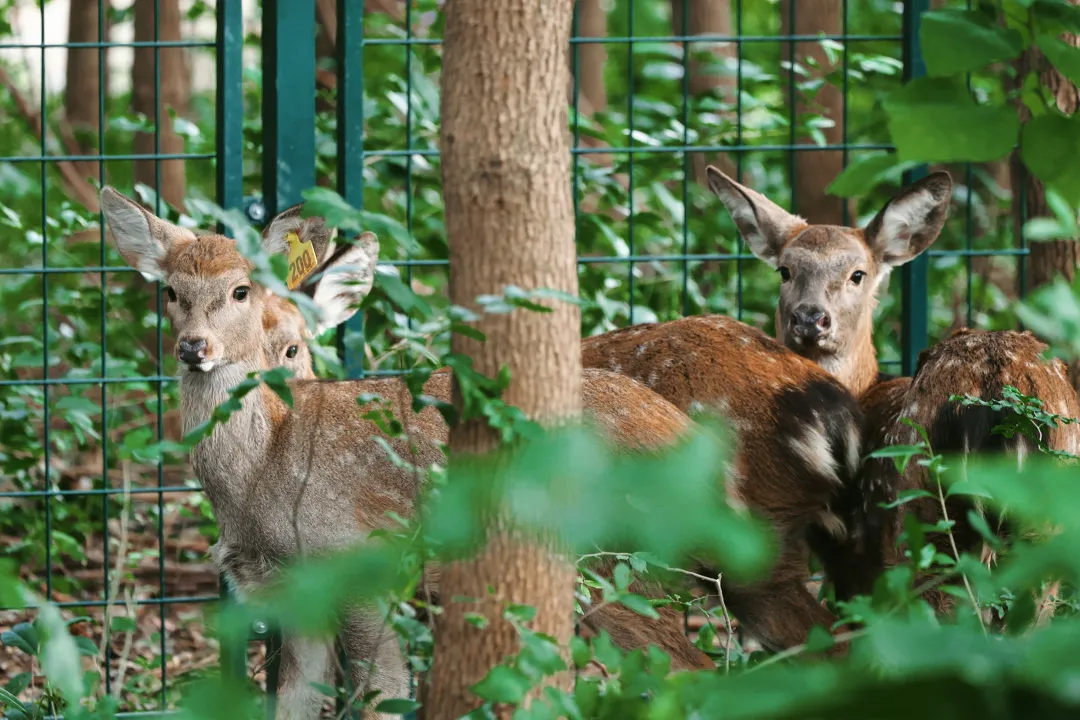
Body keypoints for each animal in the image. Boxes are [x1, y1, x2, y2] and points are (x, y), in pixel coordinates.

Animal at [704, 165, 1080, 621]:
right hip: (1049, 520)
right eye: (785, 271)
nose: (810, 319)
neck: (867, 388)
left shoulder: (850, 554)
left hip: (923, 518)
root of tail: (1001, 398)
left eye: (857, 274)